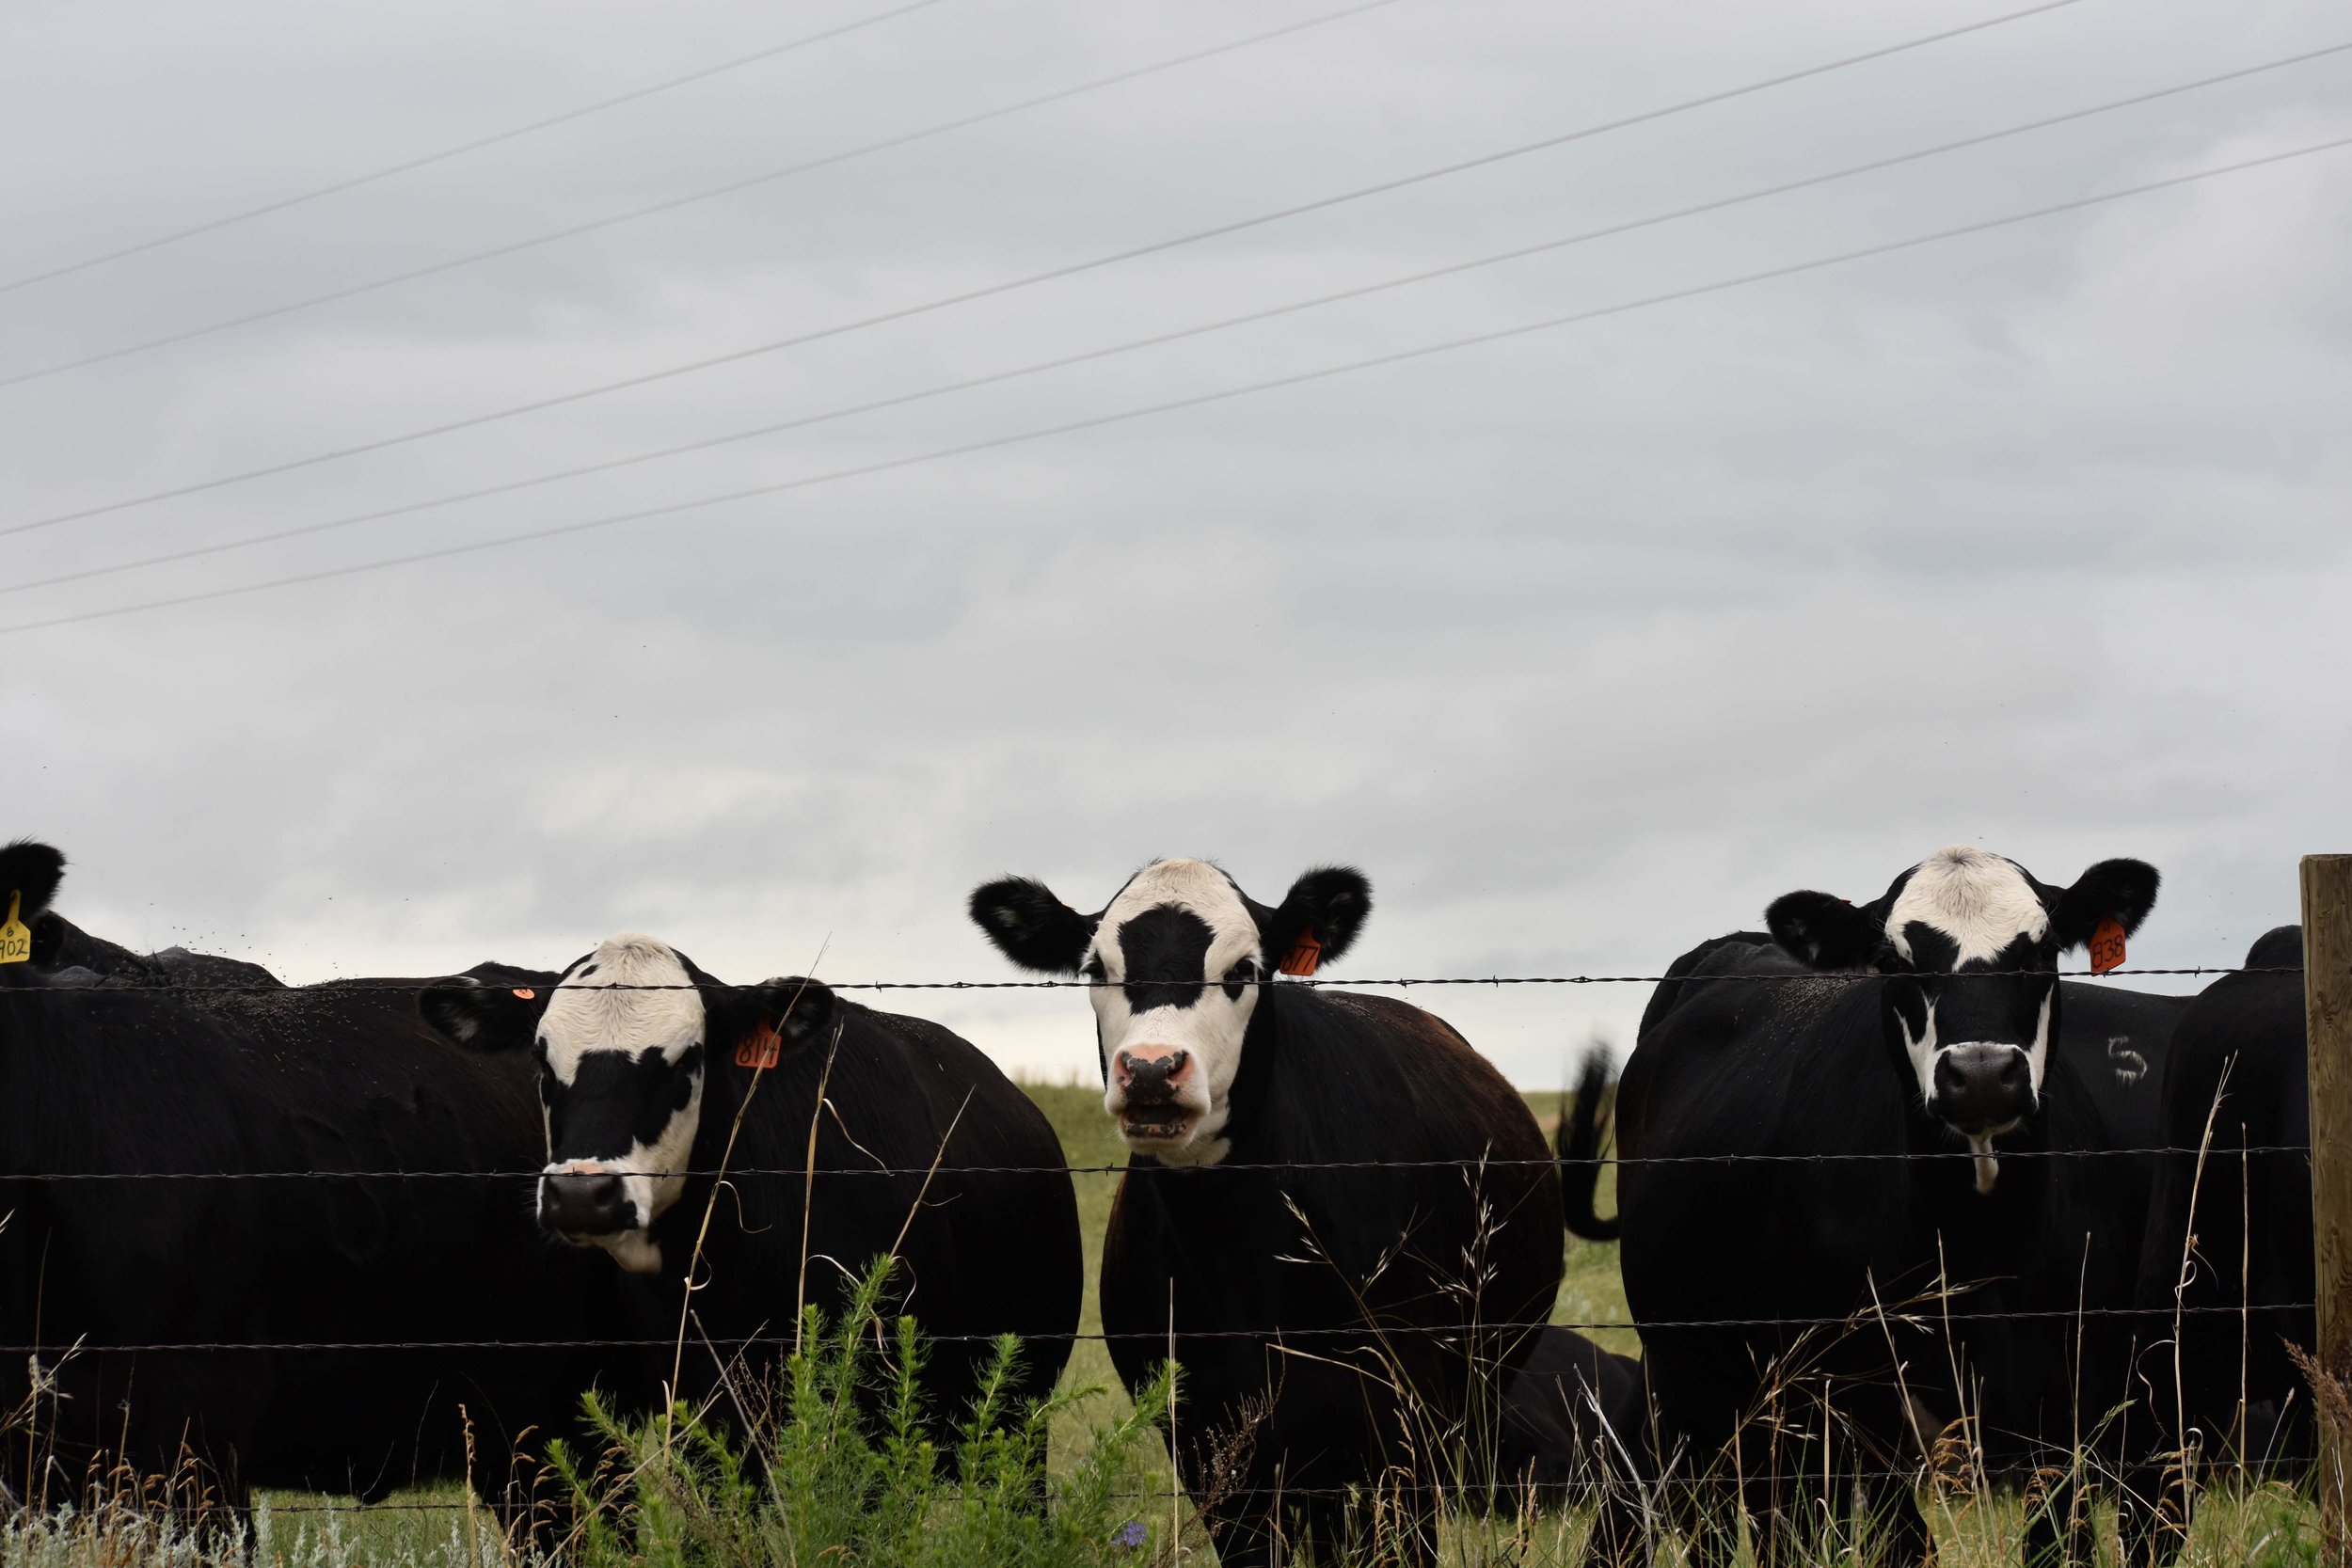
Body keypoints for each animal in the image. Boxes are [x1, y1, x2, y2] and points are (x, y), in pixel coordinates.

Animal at [967, 857, 1564, 1568]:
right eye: (1094, 969)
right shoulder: (1209, 1444)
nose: (1151, 1071)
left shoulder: (1402, 1428)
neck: (1242, 1260)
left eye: (1243, 969)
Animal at [1609, 846, 2160, 1568]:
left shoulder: (2067, 1406)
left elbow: (2060, 1539)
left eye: (2039, 951)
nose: (1981, 1075)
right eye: (1895, 961)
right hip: (1699, 1387)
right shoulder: (1855, 1408)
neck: (1979, 1248)